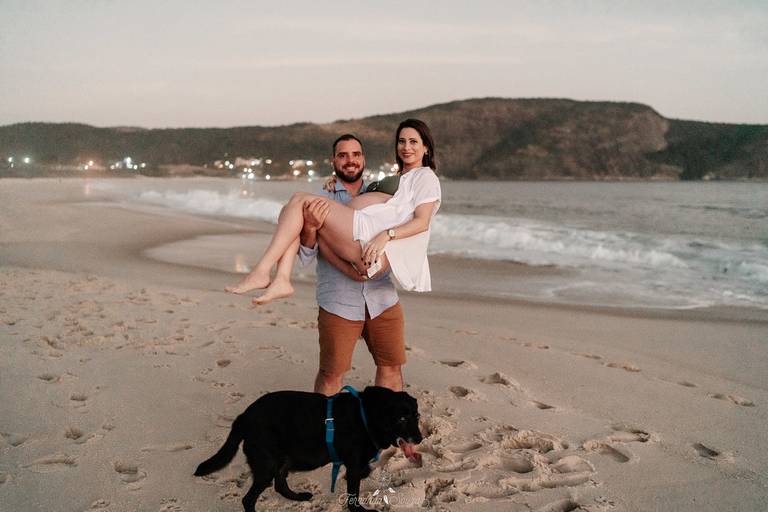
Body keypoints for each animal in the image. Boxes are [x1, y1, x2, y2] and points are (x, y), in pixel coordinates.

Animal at [194, 386, 422, 512]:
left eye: (417, 416)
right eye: (401, 419)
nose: (419, 439)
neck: (366, 415)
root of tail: (244, 416)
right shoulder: (353, 466)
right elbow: (353, 495)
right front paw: (359, 510)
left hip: (283, 459)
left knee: (280, 485)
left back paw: (298, 497)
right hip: (267, 465)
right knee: (248, 499)